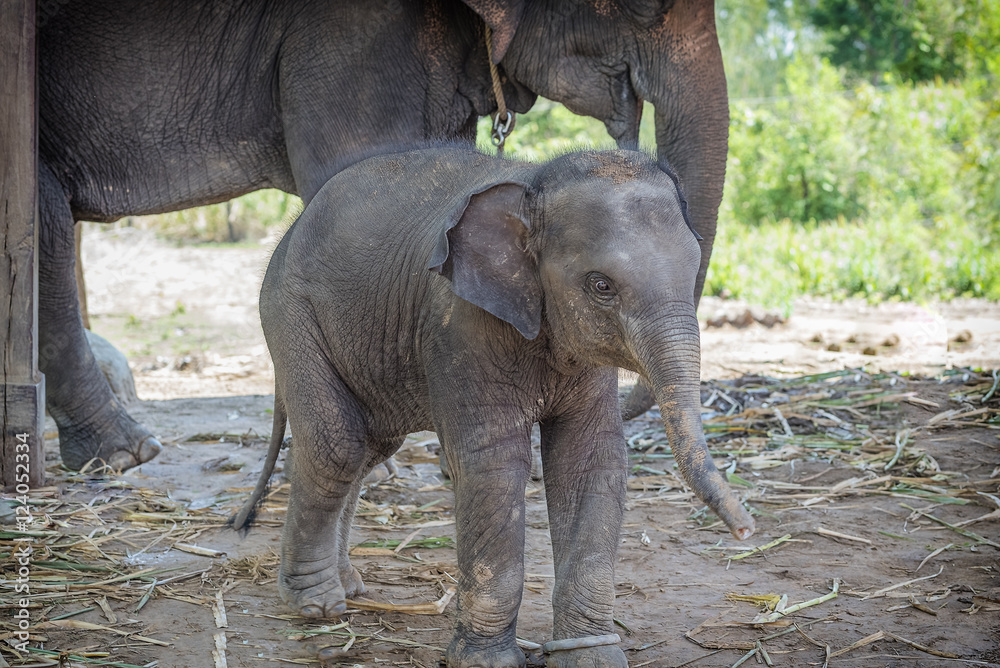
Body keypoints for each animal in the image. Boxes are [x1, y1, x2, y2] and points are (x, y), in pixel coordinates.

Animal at [231, 146, 753, 668]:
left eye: (695, 270)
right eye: (601, 286)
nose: (746, 529)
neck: (533, 185)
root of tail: (290, 230)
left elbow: (589, 461)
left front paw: (591, 657)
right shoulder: (459, 323)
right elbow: (494, 464)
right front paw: (487, 662)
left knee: (367, 449)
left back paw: (349, 587)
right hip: (290, 312)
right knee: (337, 443)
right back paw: (316, 604)